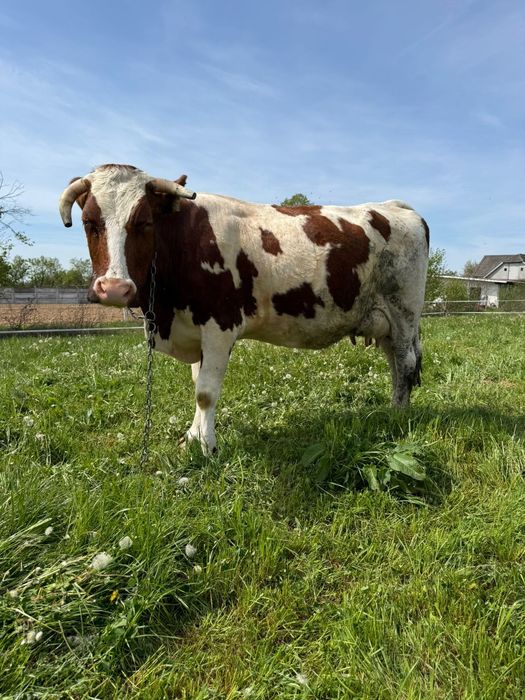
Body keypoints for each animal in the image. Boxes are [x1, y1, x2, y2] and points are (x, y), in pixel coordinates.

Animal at [59, 164, 429, 454]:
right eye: (90, 222)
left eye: (143, 223)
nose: (113, 288)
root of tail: (395, 205)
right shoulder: (194, 330)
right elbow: (197, 384)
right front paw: (193, 437)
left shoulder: (219, 325)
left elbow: (206, 392)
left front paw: (206, 447)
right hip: (384, 321)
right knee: (395, 363)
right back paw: (393, 409)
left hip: (404, 312)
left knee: (405, 364)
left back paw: (398, 416)